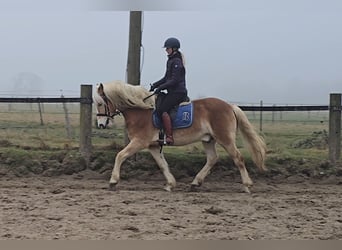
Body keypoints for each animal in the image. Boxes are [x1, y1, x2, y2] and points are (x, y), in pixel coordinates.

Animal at [93, 80, 268, 193]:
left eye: (101, 103)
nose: (101, 124)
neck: (141, 110)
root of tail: (230, 106)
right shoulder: (153, 146)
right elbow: (162, 165)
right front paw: (170, 184)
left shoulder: (139, 142)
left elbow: (120, 155)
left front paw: (113, 181)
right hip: (208, 139)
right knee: (212, 158)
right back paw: (195, 183)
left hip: (225, 138)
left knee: (238, 158)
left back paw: (247, 185)